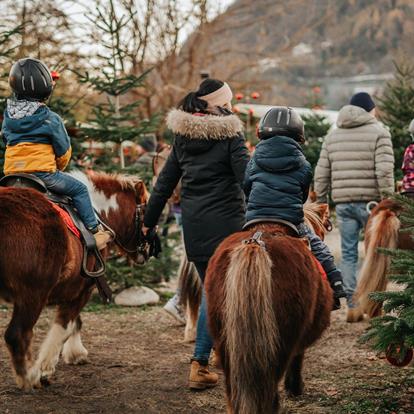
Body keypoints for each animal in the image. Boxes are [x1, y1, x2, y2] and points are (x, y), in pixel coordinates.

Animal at [0, 170, 148, 390]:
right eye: (147, 212)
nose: (148, 252)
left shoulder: (72, 287)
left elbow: (74, 321)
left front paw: (74, 352)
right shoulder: (83, 289)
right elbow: (65, 324)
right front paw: (46, 367)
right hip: (33, 295)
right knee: (16, 335)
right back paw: (30, 376)